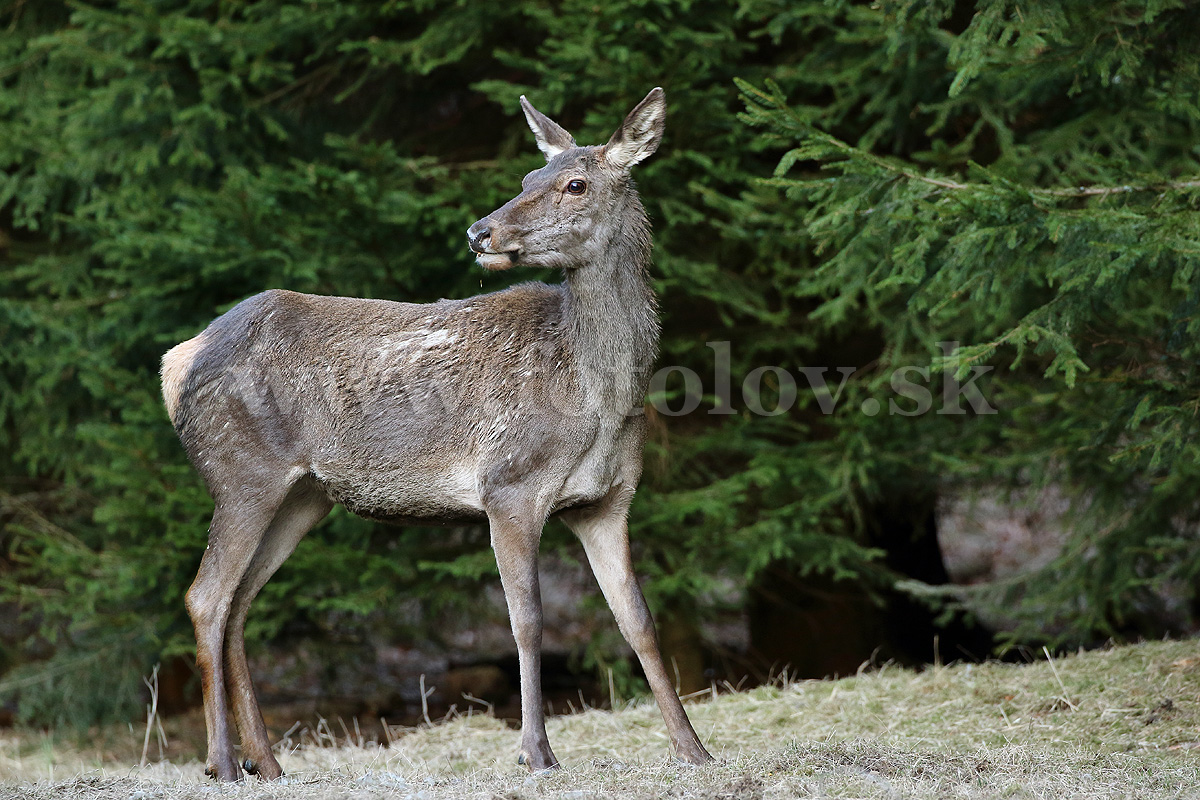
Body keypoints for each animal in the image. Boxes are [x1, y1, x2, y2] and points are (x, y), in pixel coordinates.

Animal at [159, 87, 710, 782]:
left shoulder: (608, 501)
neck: (598, 399)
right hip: (242, 474)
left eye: (575, 183)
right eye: (527, 177)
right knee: (206, 598)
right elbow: (527, 621)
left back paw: (269, 763)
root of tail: (177, 360)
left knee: (237, 605)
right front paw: (536, 753)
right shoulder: (509, 486)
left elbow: (638, 620)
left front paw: (693, 749)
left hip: (301, 496)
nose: (480, 232)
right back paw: (222, 763)